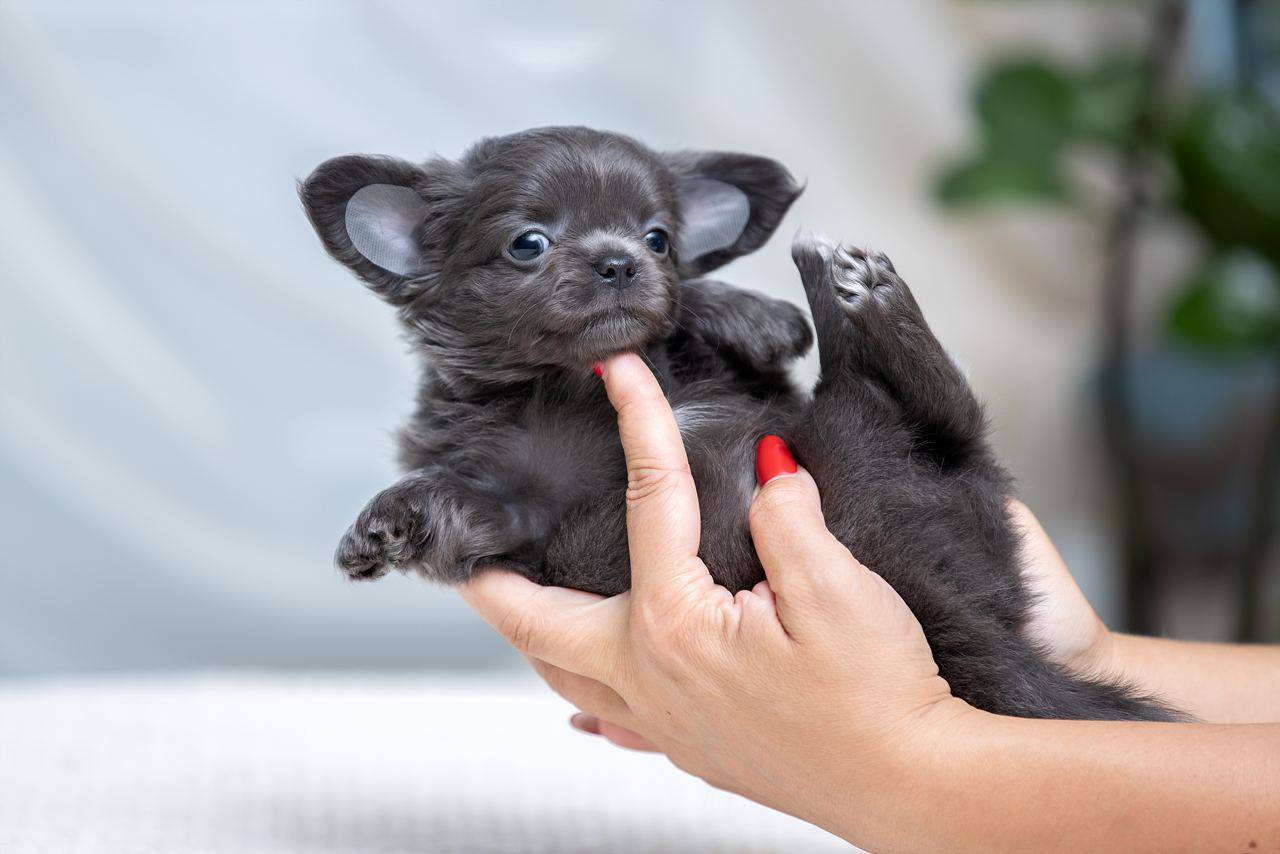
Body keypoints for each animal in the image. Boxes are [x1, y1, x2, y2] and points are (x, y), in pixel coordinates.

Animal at [299, 126, 1177, 722]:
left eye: (660, 238)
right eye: (528, 244)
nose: (621, 261)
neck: (569, 388)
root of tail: (981, 621)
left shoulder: (757, 388)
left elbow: (708, 321)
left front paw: (747, 311)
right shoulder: (520, 521)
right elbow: (462, 499)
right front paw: (384, 522)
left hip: (847, 438)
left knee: (937, 404)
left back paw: (846, 285)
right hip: (864, 451)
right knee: (925, 407)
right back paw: (852, 286)